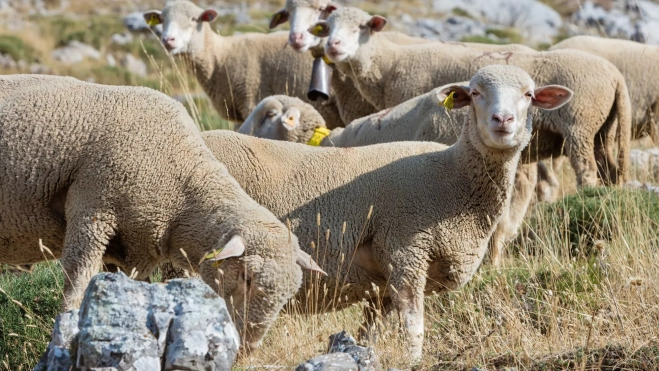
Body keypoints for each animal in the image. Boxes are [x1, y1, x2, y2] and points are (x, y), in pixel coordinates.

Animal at [0, 75, 324, 352]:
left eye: (288, 295)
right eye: (247, 277)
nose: (249, 346)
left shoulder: (131, 247)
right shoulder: (92, 210)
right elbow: (77, 284)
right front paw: (63, 337)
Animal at [144, 0, 346, 129]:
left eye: (194, 20)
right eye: (162, 20)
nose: (167, 40)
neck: (221, 57)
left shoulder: (251, 99)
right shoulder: (238, 115)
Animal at [200, 65, 572, 362]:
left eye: (528, 95)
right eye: (476, 93)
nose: (503, 121)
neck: (452, 176)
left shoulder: (380, 286)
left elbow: (370, 334)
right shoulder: (405, 251)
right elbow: (414, 328)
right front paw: (414, 361)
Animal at [314, 7, 636, 189]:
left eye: (361, 28)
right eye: (327, 28)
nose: (333, 45)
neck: (389, 64)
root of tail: (616, 75)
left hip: (579, 126)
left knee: (587, 173)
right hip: (602, 131)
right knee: (610, 172)